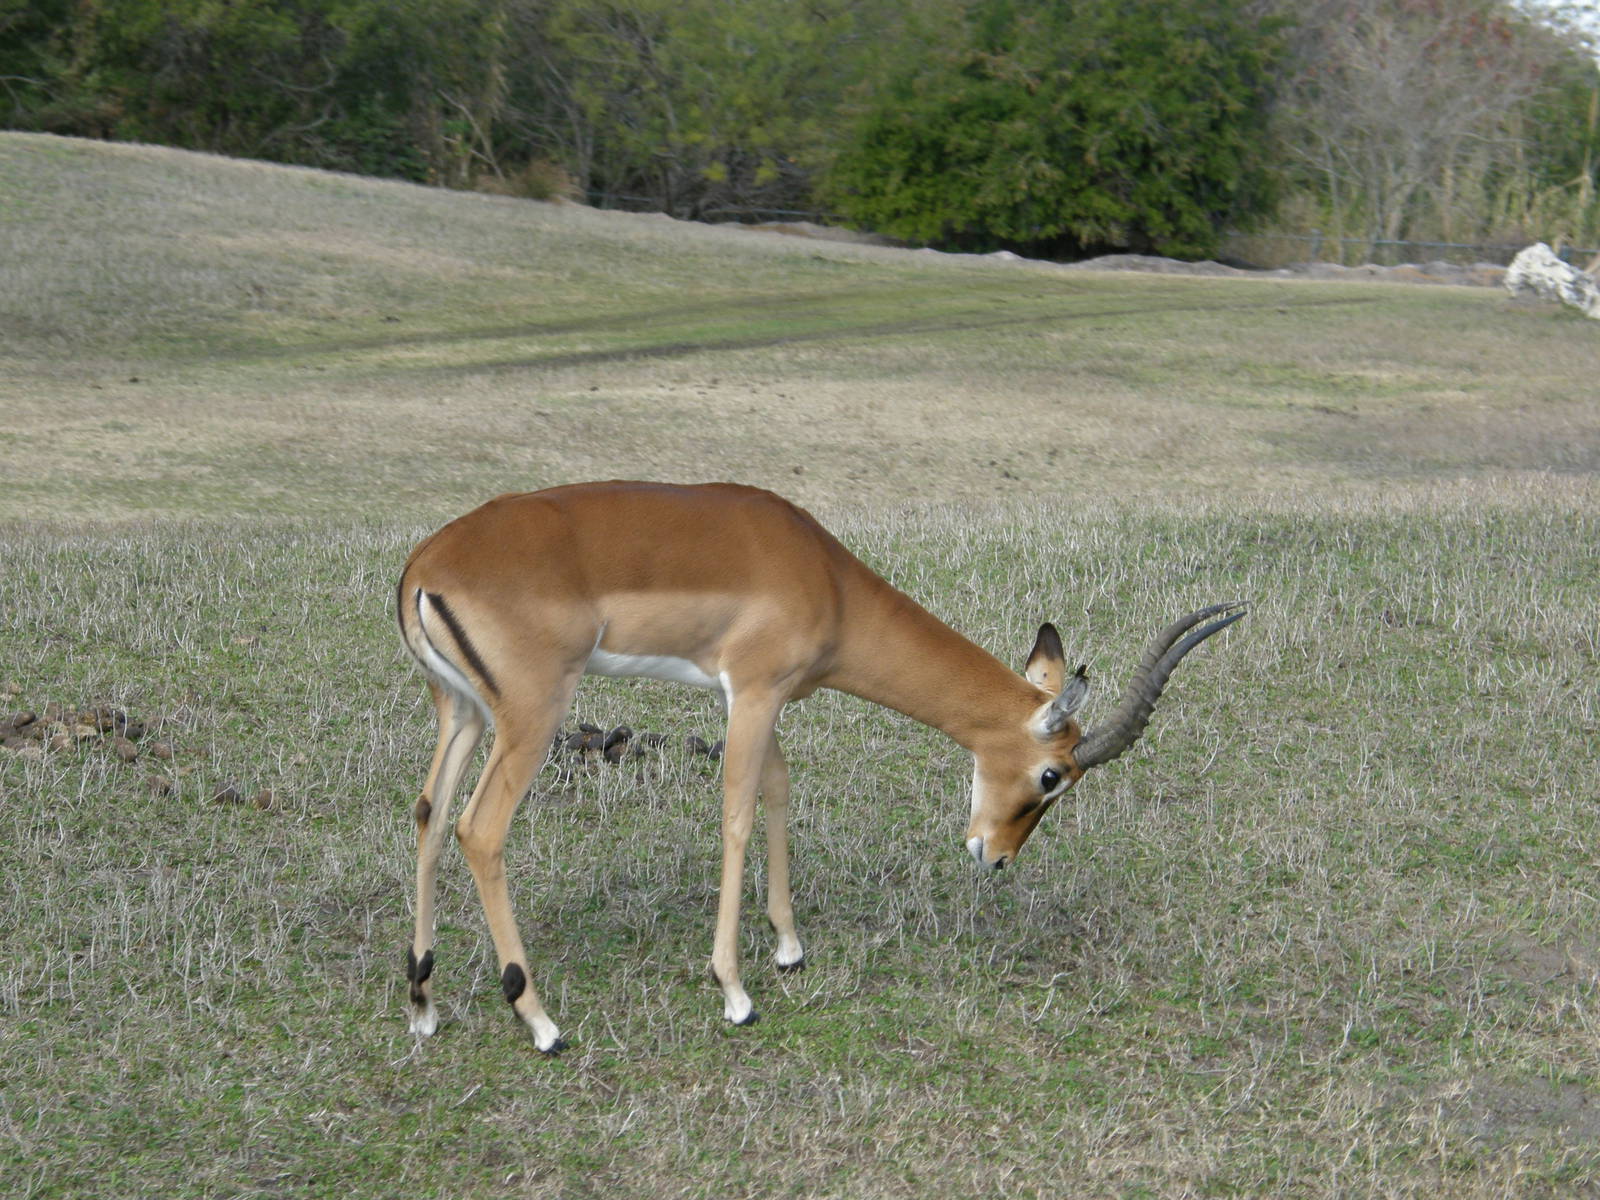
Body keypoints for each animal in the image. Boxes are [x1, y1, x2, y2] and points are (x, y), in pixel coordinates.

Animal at [396, 481, 1244, 1052]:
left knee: (429, 814)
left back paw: (424, 1004)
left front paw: (789, 950)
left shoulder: (763, 702)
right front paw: (736, 993)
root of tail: (422, 569)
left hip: (462, 712)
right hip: (531, 716)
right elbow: (738, 813)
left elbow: (778, 790)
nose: (995, 856)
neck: (824, 575)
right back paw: (541, 1022)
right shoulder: (753, 691)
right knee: (480, 829)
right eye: (1052, 777)